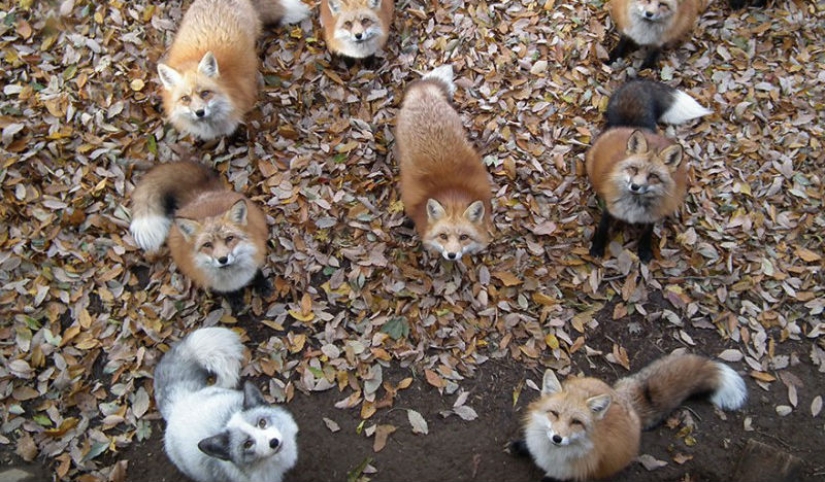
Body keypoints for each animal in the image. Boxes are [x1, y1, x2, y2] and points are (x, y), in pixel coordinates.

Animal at [129, 161, 271, 311]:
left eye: (229, 239)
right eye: (207, 245)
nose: (223, 259)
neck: (234, 277)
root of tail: (198, 196)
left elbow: (257, 273)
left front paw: (262, 284)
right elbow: (226, 292)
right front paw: (234, 299)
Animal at [510, 352, 748, 481]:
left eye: (576, 422)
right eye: (554, 414)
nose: (557, 438)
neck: (552, 454)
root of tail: (628, 403)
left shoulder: (568, 475)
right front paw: (521, 446)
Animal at [587, 80, 711, 262]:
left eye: (653, 176)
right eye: (633, 169)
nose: (635, 187)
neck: (634, 207)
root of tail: (632, 125)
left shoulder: (653, 215)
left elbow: (647, 233)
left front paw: (644, 251)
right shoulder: (610, 209)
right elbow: (602, 228)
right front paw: (597, 247)